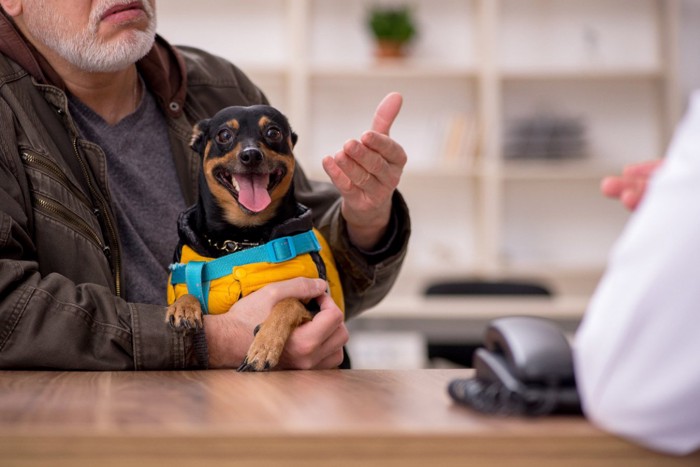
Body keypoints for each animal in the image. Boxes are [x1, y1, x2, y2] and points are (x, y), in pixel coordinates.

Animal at [168, 106, 346, 372]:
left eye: (273, 132)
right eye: (224, 135)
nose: (251, 155)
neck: (243, 239)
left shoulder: (317, 303)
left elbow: (289, 302)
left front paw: (264, 346)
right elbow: (187, 293)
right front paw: (184, 306)